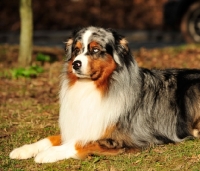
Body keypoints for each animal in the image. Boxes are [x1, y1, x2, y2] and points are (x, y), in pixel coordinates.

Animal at [9, 26, 200, 163]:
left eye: (95, 50)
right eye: (76, 50)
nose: (76, 64)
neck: (94, 87)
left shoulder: (127, 137)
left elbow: (81, 142)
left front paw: (49, 153)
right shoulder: (84, 126)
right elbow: (51, 138)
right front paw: (24, 149)